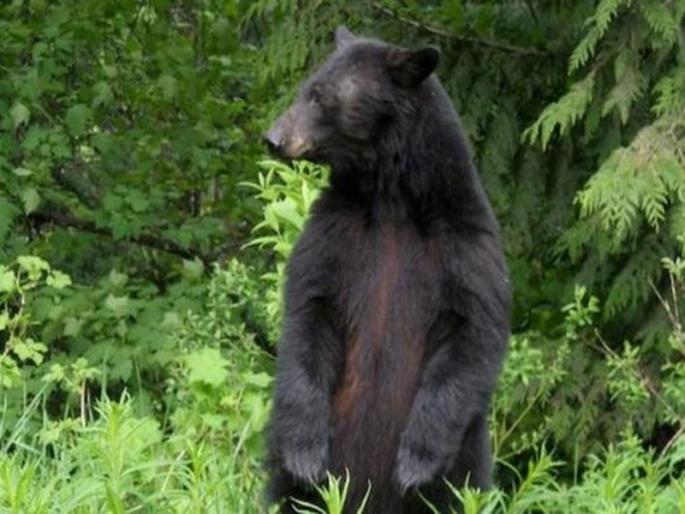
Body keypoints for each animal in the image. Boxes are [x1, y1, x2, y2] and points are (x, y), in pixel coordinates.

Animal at [263, 26, 510, 514]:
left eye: (320, 96)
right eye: (306, 88)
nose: (274, 137)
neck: (391, 199)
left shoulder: (465, 246)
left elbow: (473, 333)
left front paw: (415, 460)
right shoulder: (334, 234)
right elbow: (308, 312)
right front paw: (305, 452)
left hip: (465, 459)